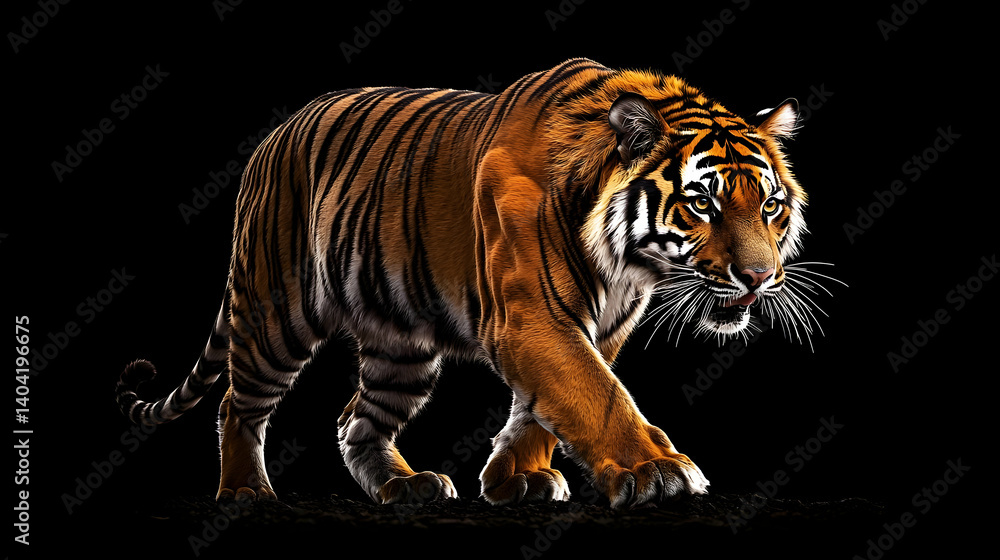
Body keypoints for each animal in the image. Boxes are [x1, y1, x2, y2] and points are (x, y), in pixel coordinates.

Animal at [115, 57, 827, 509]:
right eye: (702, 204)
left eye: (770, 205)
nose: (758, 277)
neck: (632, 265)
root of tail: (274, 136)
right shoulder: (533, 317)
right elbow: (596, 393)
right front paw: (656, 469)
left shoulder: (603, 325)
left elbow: (544, 407)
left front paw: (516, 480)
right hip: (277, 312)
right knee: (238, 403)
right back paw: (244, 491)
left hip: (401, 345)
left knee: (355, 420)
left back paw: (405, 487)